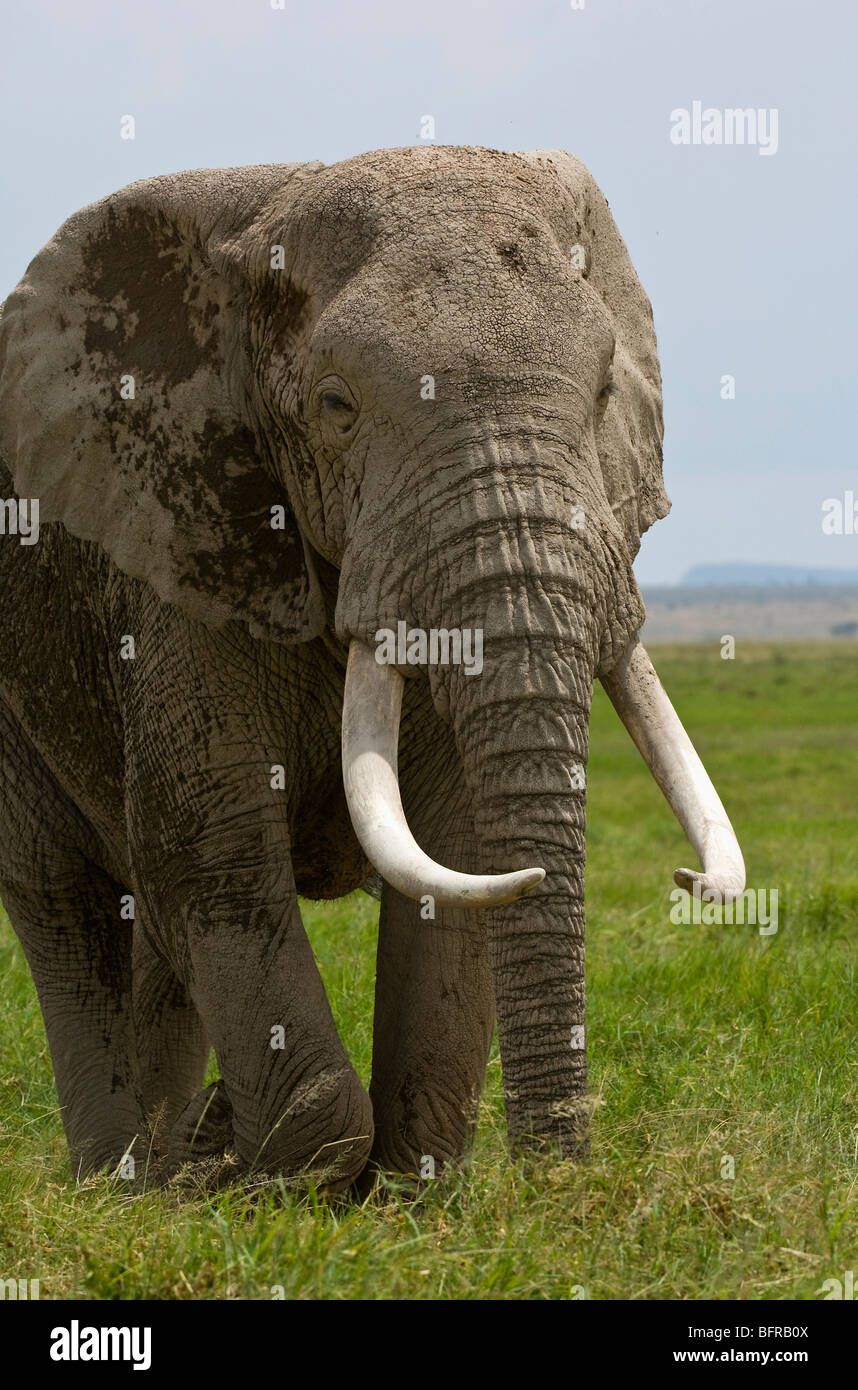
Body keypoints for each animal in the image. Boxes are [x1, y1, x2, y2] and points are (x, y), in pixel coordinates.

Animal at [0, 149, 745, 1195]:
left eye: (604, 393)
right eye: (335, 407)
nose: (566, 1188)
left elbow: (458, 851)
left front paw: (405, 1187)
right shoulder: (178, 554)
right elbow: (214, 842)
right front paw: (268, 1180)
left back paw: (167, 1167)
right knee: (65, 902)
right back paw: (122, 1184)